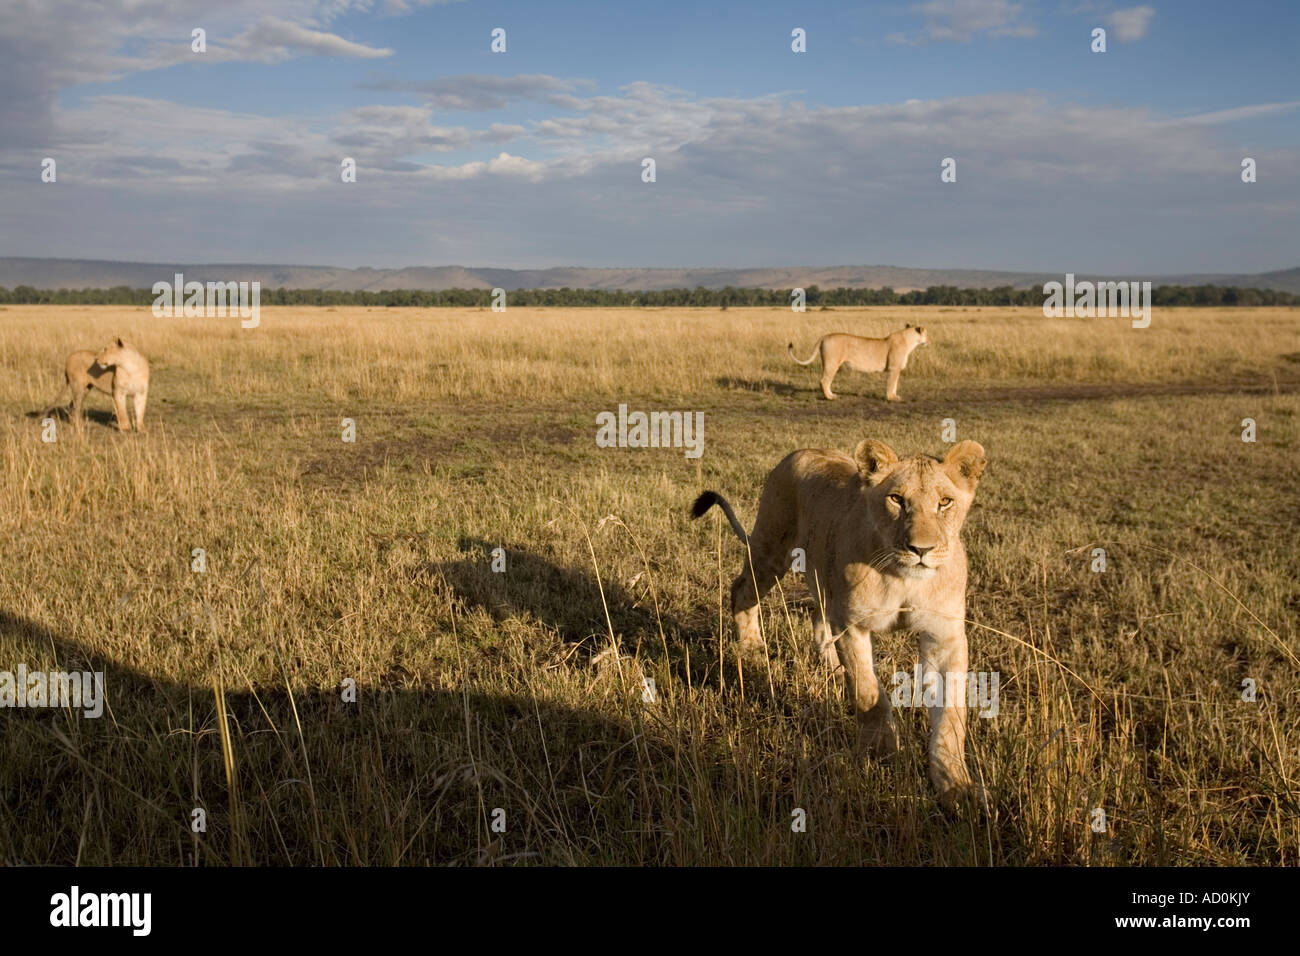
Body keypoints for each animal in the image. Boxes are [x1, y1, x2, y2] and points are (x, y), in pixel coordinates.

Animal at [691, 437, 987, 807]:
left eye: (945, 502)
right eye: (896, 499)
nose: (921, 549)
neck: (905, 579)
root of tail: (802, 451)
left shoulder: (945, 636)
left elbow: (950, 715)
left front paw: (955, 785)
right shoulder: (852, 624)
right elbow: (868, 692)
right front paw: (881, 752)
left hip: (821, 571)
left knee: (818, 617)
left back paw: (831, 668)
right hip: (771, 548)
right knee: (743, 589)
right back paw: (752, 648)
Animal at [788, 324, 928, 401]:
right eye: (926, 334)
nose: (928, 341)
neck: (909, 341)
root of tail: (825, 336)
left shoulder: (895, 369)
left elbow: (895, 384)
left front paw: (894, 396)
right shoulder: (894, 368)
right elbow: (892, 384)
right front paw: (891, 398)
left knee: (826, 381)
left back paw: (832, 394)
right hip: (831, 363)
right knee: (824, 380)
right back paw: (830, 398)